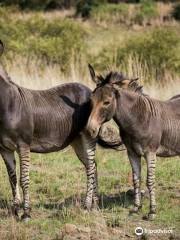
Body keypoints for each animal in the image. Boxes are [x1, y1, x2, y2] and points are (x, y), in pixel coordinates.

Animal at [86, 65, 179, 219]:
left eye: (107, 102)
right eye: (90, 102)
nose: (90, 130)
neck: (138, 119)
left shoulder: (150, 152)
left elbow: (149, 180)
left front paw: (152, 212)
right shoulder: (132, 153)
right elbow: (136, 179)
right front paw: (136, 207)